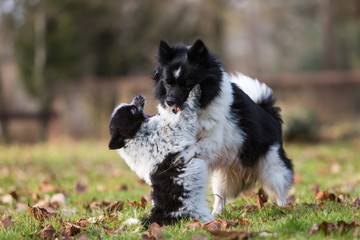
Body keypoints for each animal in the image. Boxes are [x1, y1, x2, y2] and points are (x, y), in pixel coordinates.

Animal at [107, 85, 214, 226]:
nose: (138, 96)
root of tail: (155, 217)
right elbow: (185, 114)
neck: (134, 135)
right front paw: (193, 94)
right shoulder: (174, 130)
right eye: (133, 110)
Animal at [150, 39, 294, 214]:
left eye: (187, 85)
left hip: (271, 166)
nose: (170, 101)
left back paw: (285, 209)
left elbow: (196, 146)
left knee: (279, 190)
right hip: (223, 177)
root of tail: (270, 114)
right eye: (168, 83)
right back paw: (216, 214)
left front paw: (183, 156)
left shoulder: (213, 141)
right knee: (220, 197)